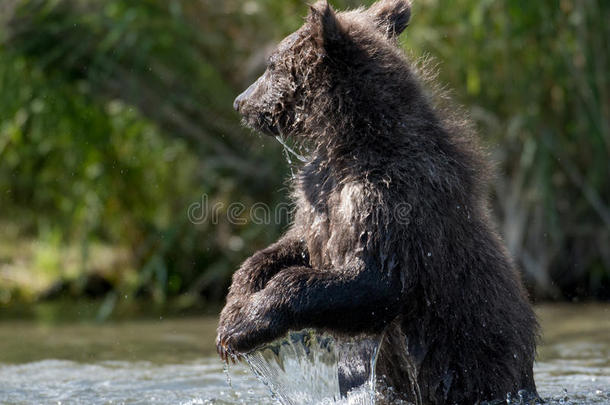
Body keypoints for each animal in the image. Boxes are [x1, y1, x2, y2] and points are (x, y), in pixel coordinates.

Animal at [217, 1, 536, 402]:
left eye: (272, 64)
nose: (239, 102)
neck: (350, 143)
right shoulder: (320, 198)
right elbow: (291, 244)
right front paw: (233, 309)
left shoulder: (392, 197)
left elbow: (373, 279)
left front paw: (245, 326)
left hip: (472, 361)